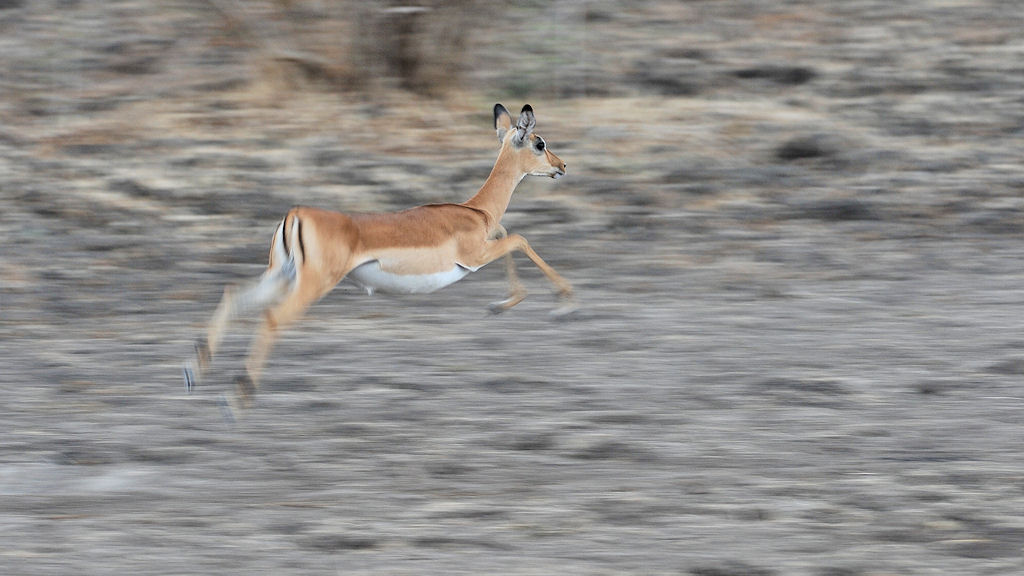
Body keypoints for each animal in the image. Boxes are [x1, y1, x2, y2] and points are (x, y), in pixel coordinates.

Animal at [184, 103, 575, 407]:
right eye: (539, 142)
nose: (562, 166)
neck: (476, 210)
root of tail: (296, 214)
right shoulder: (475, 256)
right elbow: (519, 238)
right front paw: (560, 303)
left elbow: (509, 233)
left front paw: (502, 304)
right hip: (312, 284)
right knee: (271, 318)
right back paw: (236, 398)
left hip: (282, 275)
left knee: (233, 295)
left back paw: (195, 372)